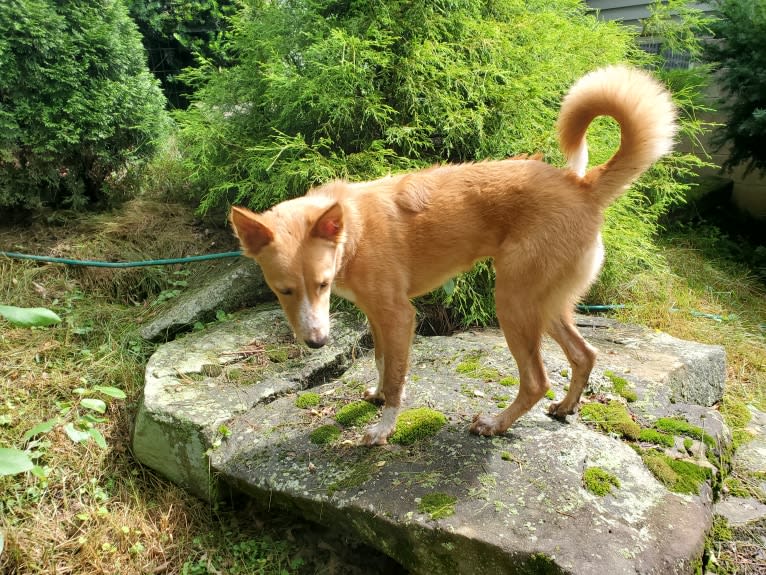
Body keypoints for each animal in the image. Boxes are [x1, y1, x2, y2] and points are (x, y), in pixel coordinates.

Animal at [230, 66, 680, 446]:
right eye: (283, 290)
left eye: (322, 284)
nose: (317, 343)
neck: (353, 229)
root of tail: (582, 186)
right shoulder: (377, 316)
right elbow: (381, 362)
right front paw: (376, 395)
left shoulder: (399, 316)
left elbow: (396, 378)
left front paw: (383, 427)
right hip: (543, 303)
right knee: (585, 354)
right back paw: (566, 407)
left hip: (513, 302)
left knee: (536, 380)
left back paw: (497, 423)